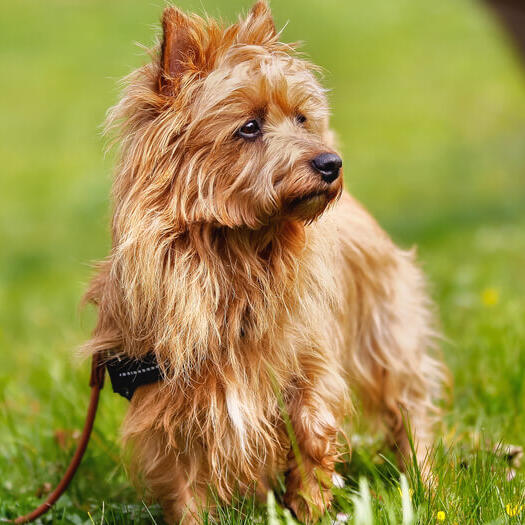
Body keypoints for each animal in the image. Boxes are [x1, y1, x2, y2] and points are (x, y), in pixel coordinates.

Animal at [84, 2, 444, 520]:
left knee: (410, 407)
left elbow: (312, 436)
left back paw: (426, 483)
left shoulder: (308, 363)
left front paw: (311, 511)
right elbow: (184, 475)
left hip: (386, 330)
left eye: (301, 118)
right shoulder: (171, 394)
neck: (236, 253)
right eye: (249, 127)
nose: (331, 163)